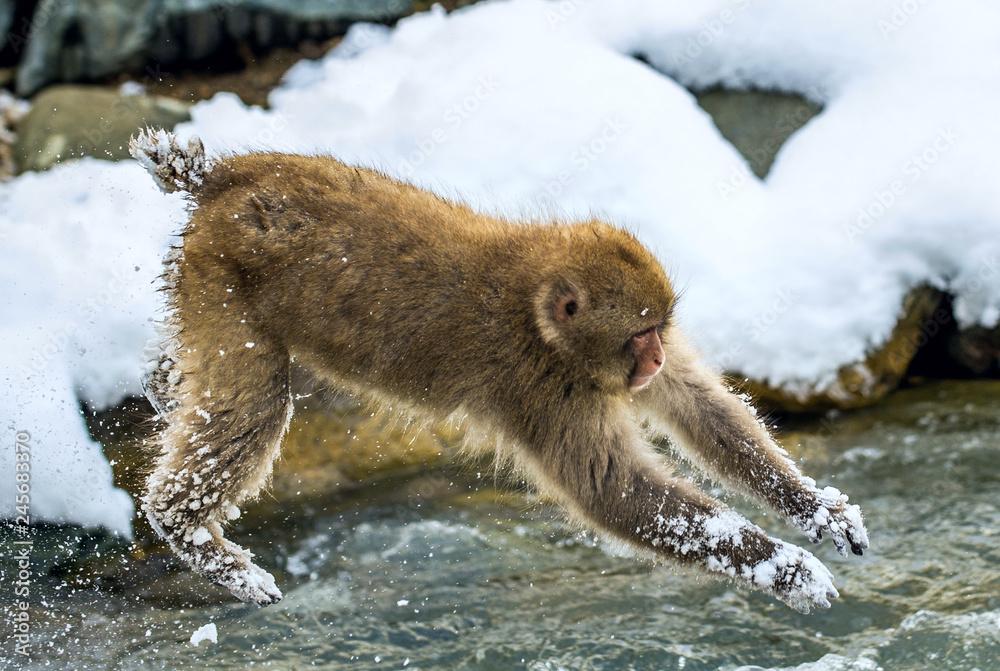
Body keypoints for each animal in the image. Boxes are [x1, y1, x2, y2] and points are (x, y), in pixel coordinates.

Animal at [129, 128, 868, 614]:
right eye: (638, 335)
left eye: (660, 329)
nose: (655, 356)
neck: (536, 312)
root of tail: (225, 177)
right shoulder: (540, 389)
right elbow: (613, 490)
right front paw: (789, 569)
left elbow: (695, 405)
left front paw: (817, 510)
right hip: (220, 279)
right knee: (251, 404)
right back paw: (187, 530)